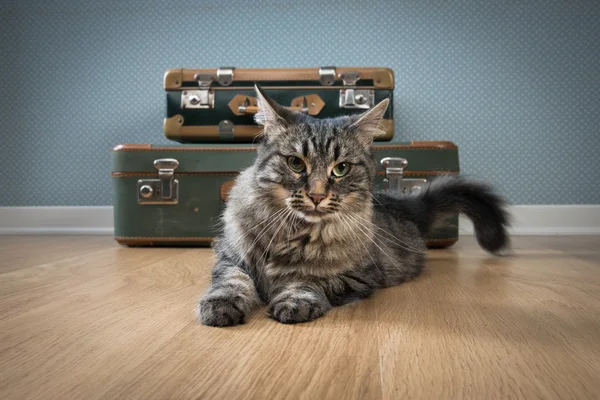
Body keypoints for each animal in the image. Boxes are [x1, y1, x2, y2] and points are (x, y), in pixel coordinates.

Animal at [199, 86, 508, 326]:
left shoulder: (358, 277)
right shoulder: (230, 256)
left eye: (341, 169)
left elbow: (308, 279)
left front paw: (294, 299)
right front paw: (221, 306)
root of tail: (401, 205)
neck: (295, 233)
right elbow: (232, 282)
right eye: (296, 163)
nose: (317, 195)